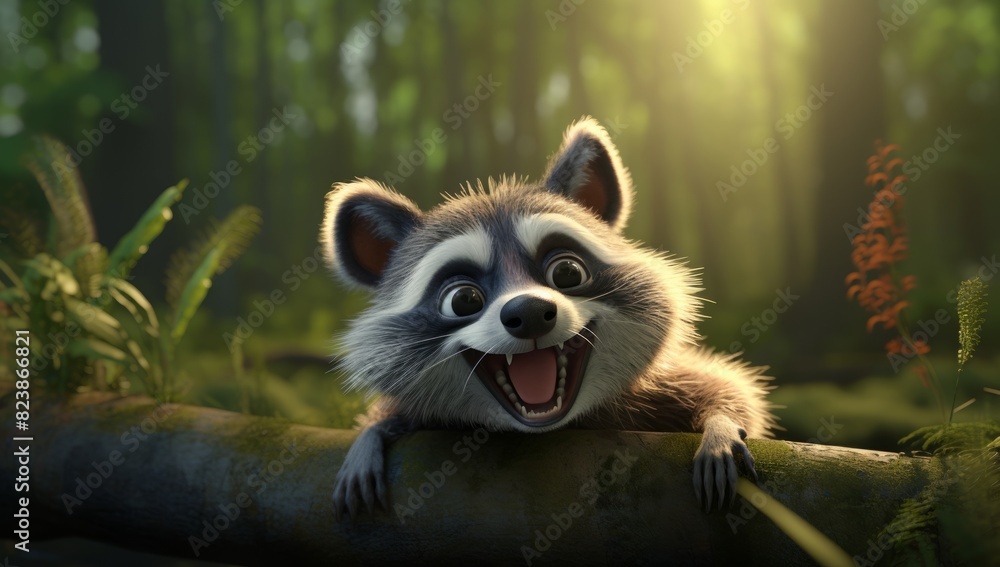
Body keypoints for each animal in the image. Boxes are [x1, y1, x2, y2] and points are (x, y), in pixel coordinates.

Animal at [321, 117, 777, 519]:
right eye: (463, 300)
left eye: (567, 273)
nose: (528, 312)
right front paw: (372, 434)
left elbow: (727, 388)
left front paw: (720, 424)